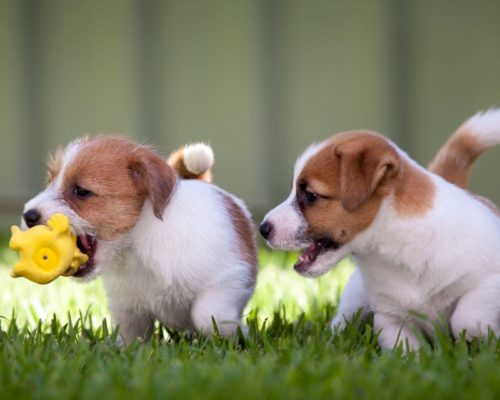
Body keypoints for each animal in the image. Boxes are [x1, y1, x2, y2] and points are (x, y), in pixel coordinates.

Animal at [22, 138, 258, 344]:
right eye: (50, 183)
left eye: (80, 191)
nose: (28, 216)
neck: (137, 247)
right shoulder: (127, 308)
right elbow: (131, 336)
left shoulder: (230, 279)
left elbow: (207, 315)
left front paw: (239, 333)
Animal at [260, 109, 500, 350]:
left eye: (311, 195)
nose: (262, 229)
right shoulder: (391, 319)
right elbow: (405, 351)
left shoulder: (489, 281)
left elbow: (466, 318)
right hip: (355, 298)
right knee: (341, 322)